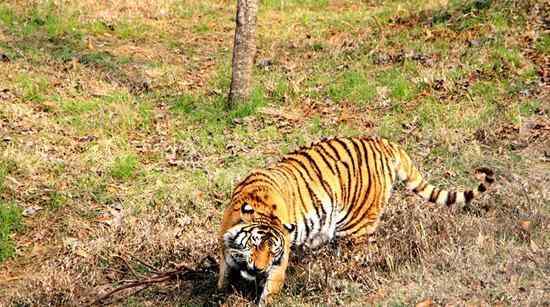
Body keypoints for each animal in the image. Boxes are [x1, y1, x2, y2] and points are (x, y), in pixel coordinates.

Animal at [219, 137, 496, 306]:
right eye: (255, 245)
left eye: (273, 250)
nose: (259, 268)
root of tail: (384, 143)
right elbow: (224, 274)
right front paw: (223, 291)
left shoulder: (279, 262)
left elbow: (270, 291)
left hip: (354, 228)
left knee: (362, 256)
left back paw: (342, 279)